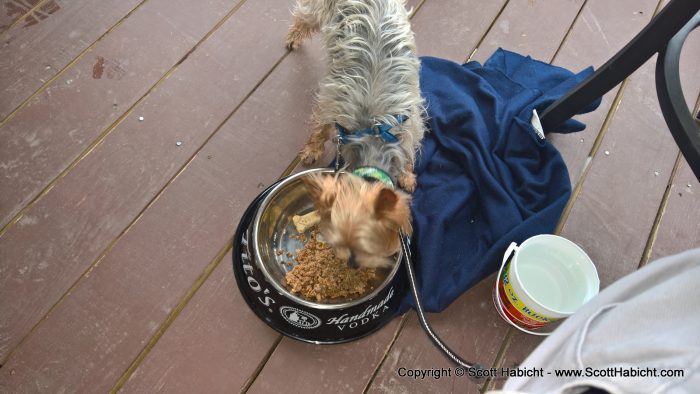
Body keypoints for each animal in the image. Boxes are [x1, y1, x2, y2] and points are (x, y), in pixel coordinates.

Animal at [286, 0, 426, 270]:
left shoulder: (411, 124)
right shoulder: (333, 107)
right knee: (303, 17)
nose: (352, 264)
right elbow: (321, 130)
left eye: (371, 245)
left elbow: (408, 152)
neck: (375, 134)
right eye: (337, 239)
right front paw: (312, 149)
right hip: (318, 10)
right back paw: (293, 37)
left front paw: (407, 174)